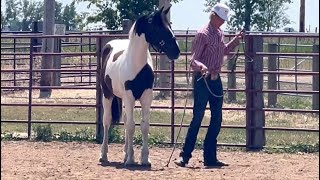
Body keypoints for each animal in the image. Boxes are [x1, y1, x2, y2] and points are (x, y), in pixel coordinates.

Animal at [100, 5, 180, 166]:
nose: (176, 51)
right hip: (108, 94)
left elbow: (144, 125)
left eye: (169, 25)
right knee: (107, 121)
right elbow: (131, 126)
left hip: (123, 99)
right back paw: (104, 155)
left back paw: (124, 154)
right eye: (159, 27)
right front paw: (131, 159)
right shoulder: (130, 96)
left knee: (125, 120)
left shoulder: (146, 97)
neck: (137, 65)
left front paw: (144, 158)